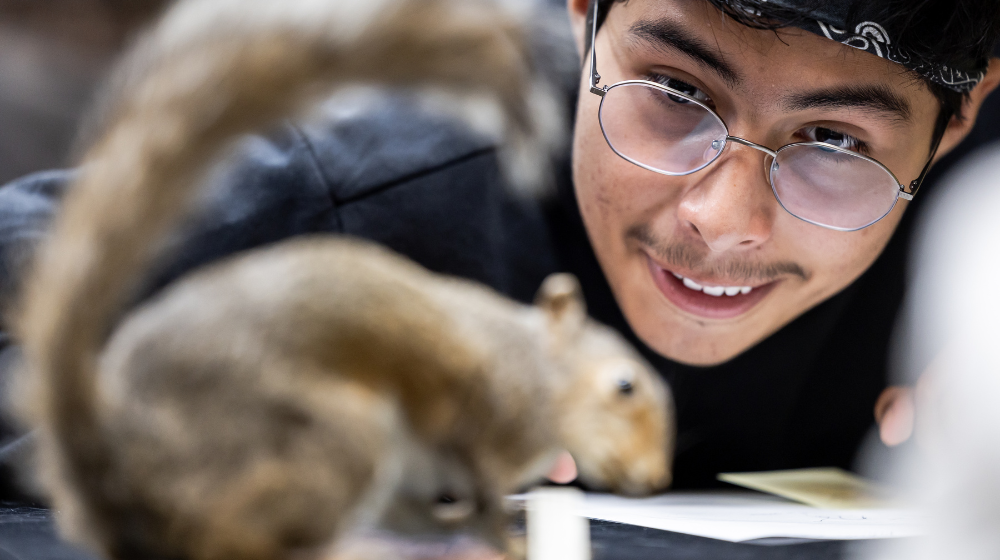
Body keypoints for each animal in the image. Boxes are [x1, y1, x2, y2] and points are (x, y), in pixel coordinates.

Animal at [11, 0, 676, 556]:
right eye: (624, 387)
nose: (656, 478)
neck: (540, 370)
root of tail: (127, 503)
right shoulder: (484, 425)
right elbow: (482, 495)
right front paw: (506, 539)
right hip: (332, 441)